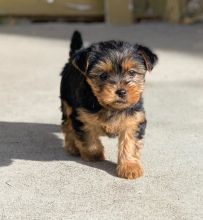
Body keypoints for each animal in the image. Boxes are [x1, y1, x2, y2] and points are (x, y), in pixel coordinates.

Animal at [59, 30, 158, 179]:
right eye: (103, 75)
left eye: (132, 73)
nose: (121, 91)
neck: (110, 107)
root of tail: (75, 55)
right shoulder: (82, 116)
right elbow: (88, 136)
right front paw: (94, 154)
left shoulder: (134, 120)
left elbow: (130, 143)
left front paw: (129, 167)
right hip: (67, 102)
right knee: (68, 125)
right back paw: (72, 146)